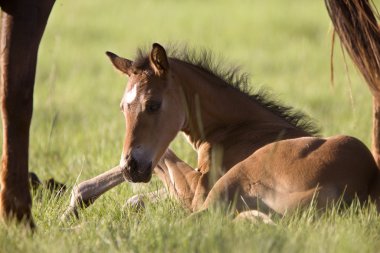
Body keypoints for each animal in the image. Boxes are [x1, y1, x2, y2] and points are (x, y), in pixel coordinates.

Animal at [61, 43, 380, 219]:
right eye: (122, 108)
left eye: (153, 104)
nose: (132, 167)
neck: (237, 128)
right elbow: (138, 196)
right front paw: (75, 204)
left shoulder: (195, 190)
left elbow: (161, 161)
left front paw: (74, 204)